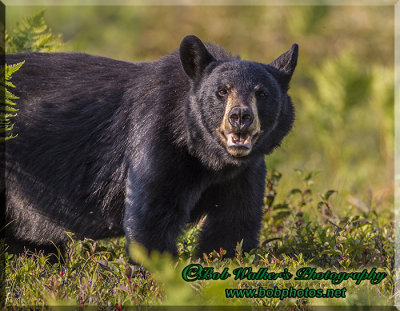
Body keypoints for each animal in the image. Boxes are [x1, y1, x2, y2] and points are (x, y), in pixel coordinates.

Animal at [3, 35, 296, 260]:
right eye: (222, 91)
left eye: (261, 93)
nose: (240, 116)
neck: (209, 157)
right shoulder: (157, 137)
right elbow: (152, 216)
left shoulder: (244, 172)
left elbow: (233, 226)